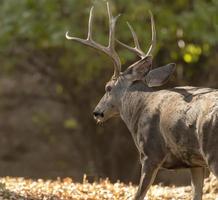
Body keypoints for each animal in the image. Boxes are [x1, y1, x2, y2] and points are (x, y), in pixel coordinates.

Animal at [65, 1, 218, 200]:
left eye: (108, 87)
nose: (97, 112)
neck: (138, 110)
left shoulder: (150, 153)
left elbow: (139, 194)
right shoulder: (194, 162)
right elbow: (196, 194)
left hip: (212, 150)